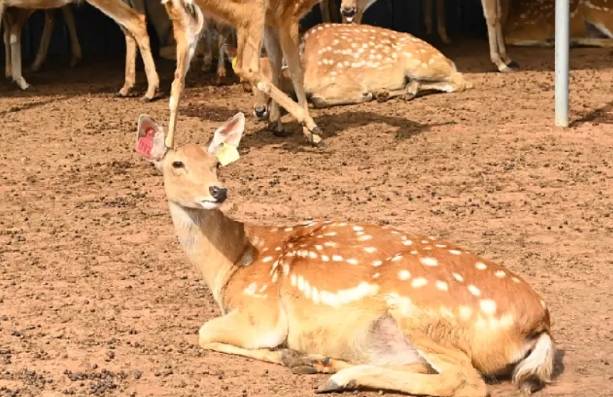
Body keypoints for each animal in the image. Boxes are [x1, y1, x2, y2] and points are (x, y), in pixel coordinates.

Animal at [133, 110, 556, 396]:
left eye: (216, 164)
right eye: (176, 164)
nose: (218, 191)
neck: (231, 264)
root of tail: (539, 323)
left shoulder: (262, 312)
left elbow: (204, 332)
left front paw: (289, 357)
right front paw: (301, 359)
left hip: (421, 309)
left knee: (464, 380)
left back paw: (337, 376)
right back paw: (328, 366)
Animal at [161, 0, 326, 147]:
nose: (260, 111)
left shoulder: (272, 20)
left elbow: (275, 64)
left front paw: (276, 124)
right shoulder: (288, 16)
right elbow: (295, 71)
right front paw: (312, 136)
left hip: (186, 23)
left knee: (177, 81)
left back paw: (168, 147)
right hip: (250, 12)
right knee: (245, 66)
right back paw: (310, 123)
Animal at [249, 23, 468, 123]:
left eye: (273, 82)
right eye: (247, 84)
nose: (258, 110)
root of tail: (447, 59)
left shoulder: (345, 81)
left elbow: (317, 98)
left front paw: (365, 95)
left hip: (421, 63)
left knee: (460, 81)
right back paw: (390, 92)